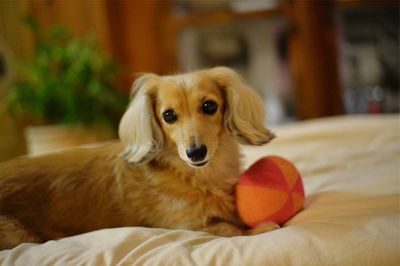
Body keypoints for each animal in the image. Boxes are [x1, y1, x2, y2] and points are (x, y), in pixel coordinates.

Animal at [0, 66, 276, 249]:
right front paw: (261, 229)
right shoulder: (191, 226)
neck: (196, 176)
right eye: (168, 115)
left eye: (209, 106)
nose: (195, 152)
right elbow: (230, 229)